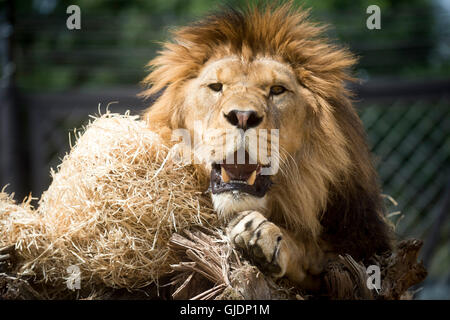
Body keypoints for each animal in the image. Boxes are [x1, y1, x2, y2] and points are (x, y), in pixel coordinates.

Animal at [141, 3, 394, 292]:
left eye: (277, 90)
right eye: (216, 87)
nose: (242, 116)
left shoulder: (363, 243)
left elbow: (317, 252)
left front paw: (263, 233)